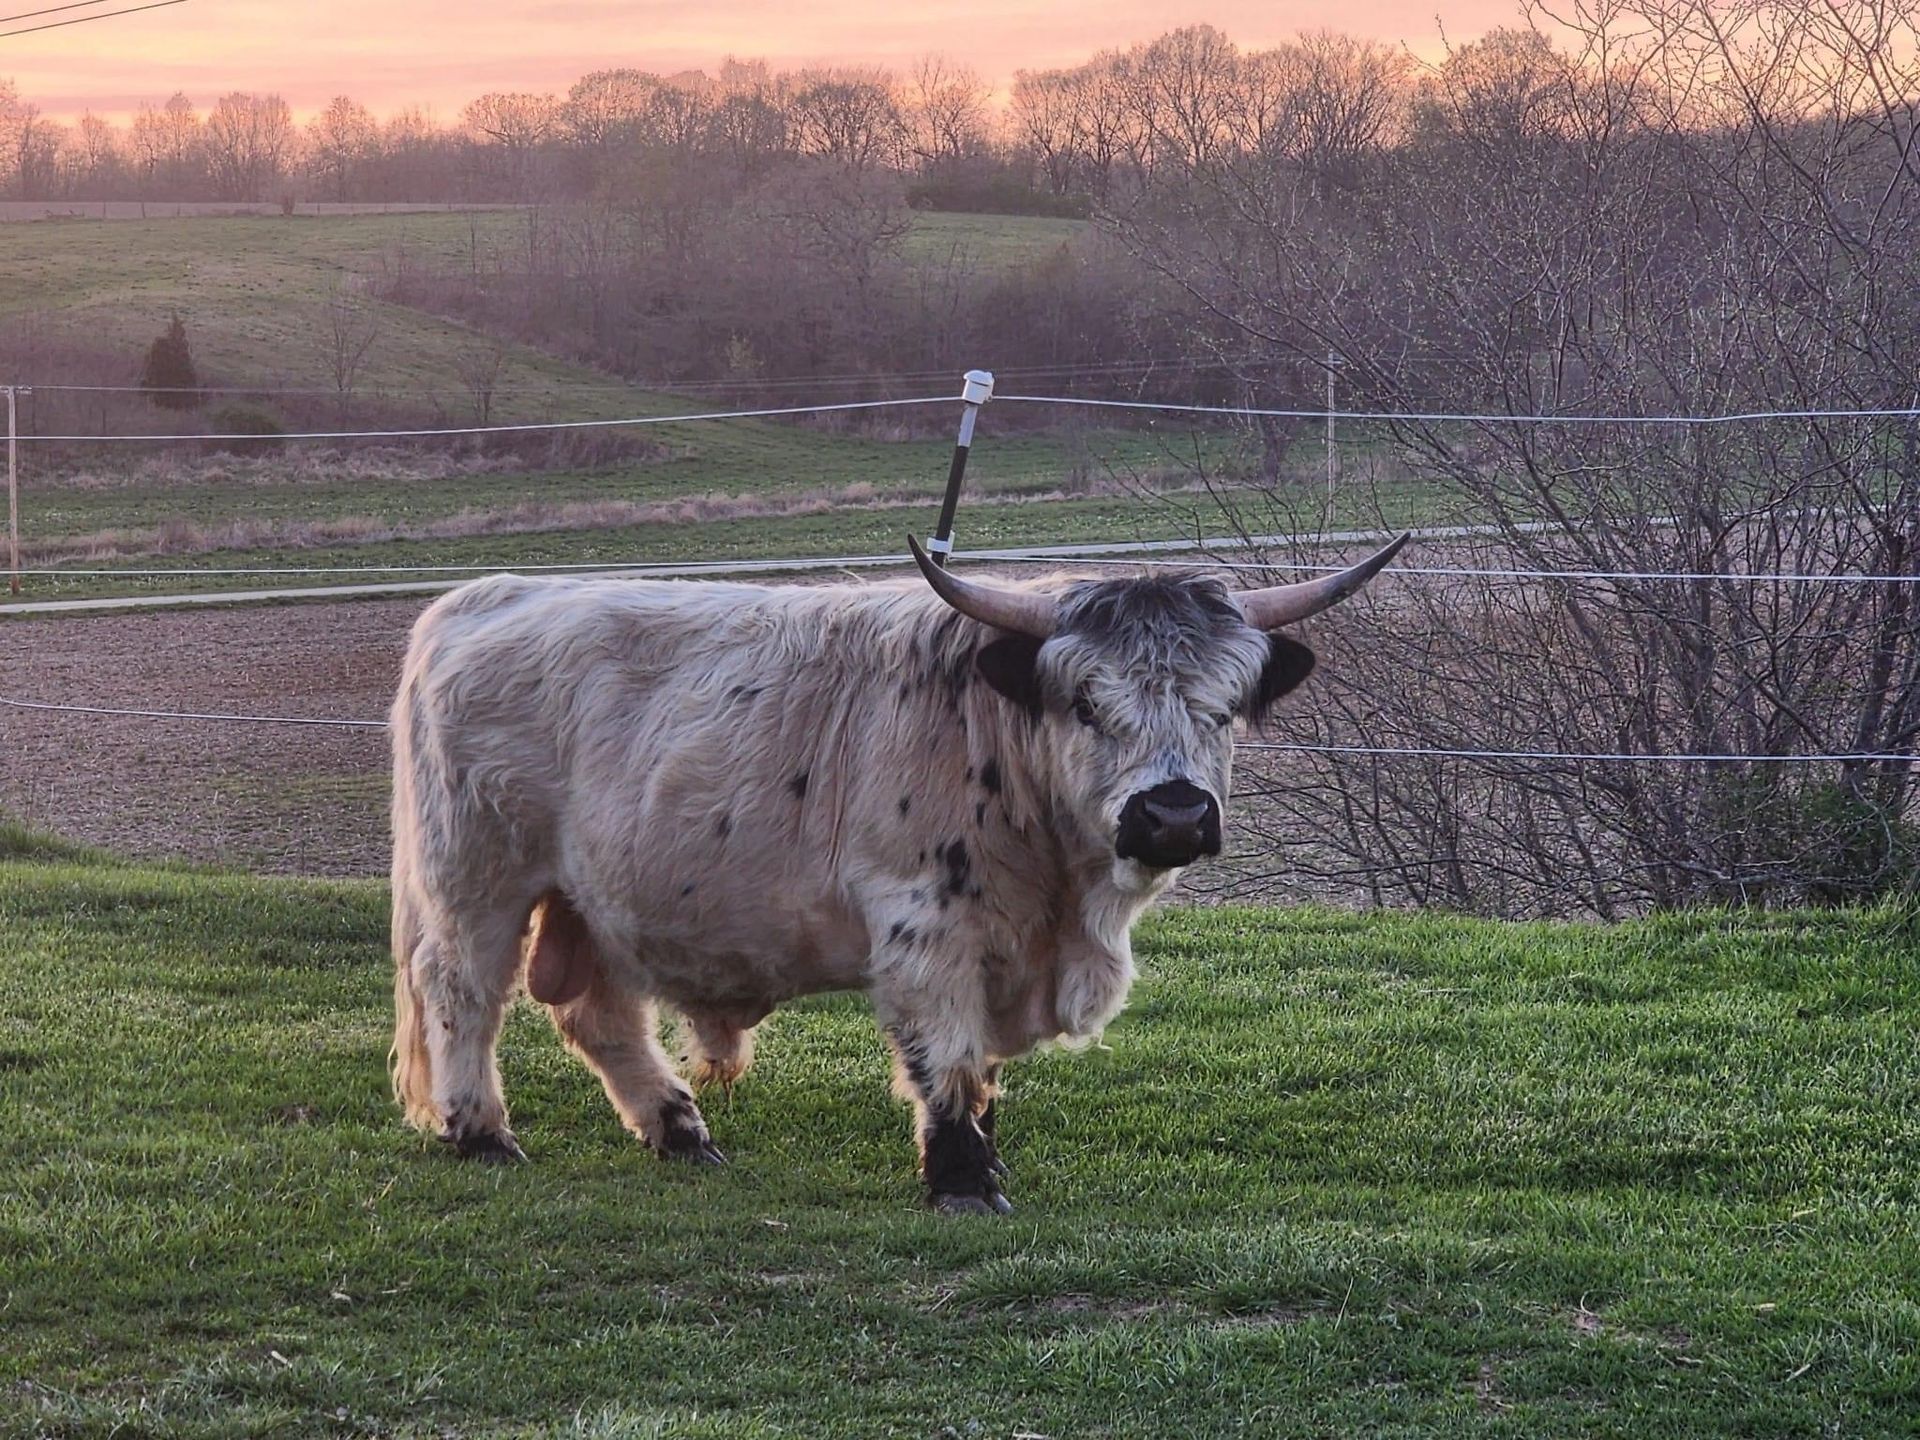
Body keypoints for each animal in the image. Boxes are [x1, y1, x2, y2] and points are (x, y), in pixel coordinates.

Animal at [389, 533, 1407, 1213]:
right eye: (1085, 702)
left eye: (1226, 708)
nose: (1175, 815)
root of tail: (486, 596)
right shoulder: (927, 927)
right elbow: (945, 1054)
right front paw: (961, 1178)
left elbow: (984, 1065)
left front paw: (986, 1151)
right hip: (477, 877)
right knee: (461, 989)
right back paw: (482, 1133)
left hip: (596, 897)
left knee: (599, 1015)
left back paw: (680, 1132)